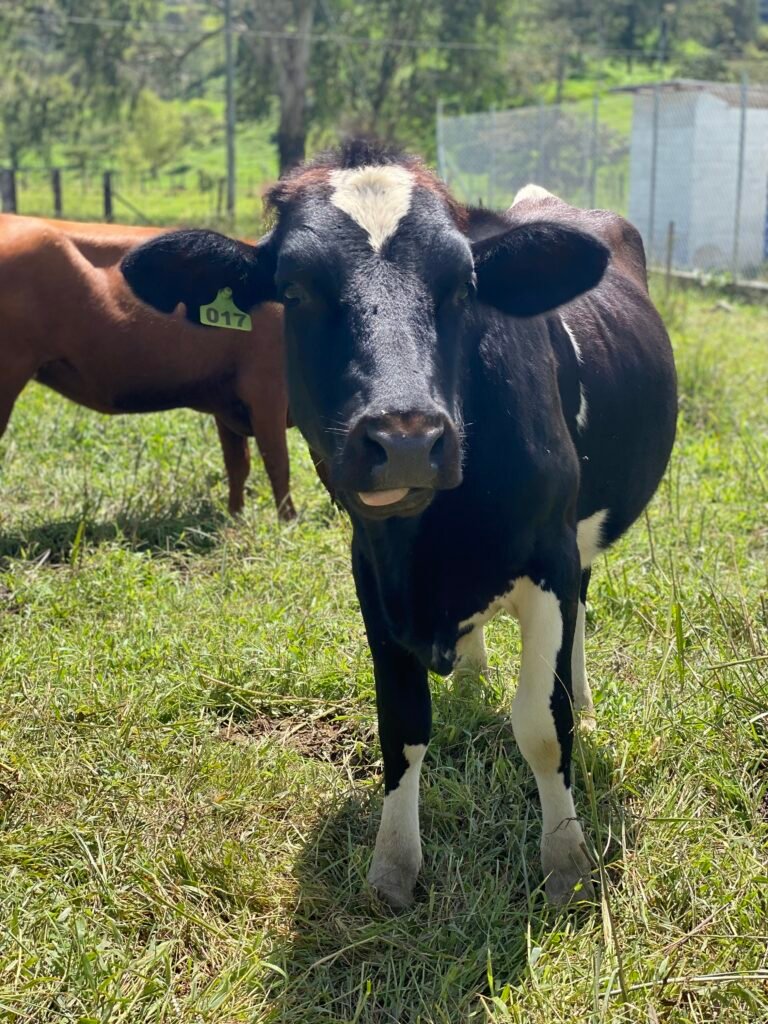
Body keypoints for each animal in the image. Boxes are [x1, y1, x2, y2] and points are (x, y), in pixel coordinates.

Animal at [0, 214, 296, 519]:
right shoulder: (266, 392)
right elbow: (278, 463)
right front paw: (287, 521)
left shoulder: (227, 400)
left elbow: (238, 464)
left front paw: (235, 516)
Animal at [120, 139, 677, 908]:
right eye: (295, 289)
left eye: (463, 285)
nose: (407, 437)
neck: (435, 543)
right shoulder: (373, 571)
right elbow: (402, 723)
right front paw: (392, 869)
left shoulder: (551, 556)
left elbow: (543, 724)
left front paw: (565, 863)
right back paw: (470, 678)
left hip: (579, 540)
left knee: (579, 623)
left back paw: (581, 693)